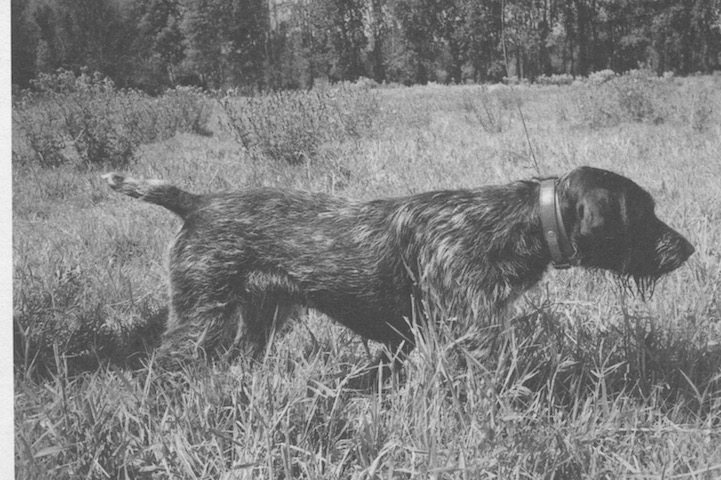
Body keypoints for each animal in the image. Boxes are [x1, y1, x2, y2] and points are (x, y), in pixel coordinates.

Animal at [102, 167, 694, 370]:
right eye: (643, 213)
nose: (688, 249)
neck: (517, 221)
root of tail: (197, 203)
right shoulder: (471, 335)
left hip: (259, 318)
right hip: (200, 321)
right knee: (162, 366)